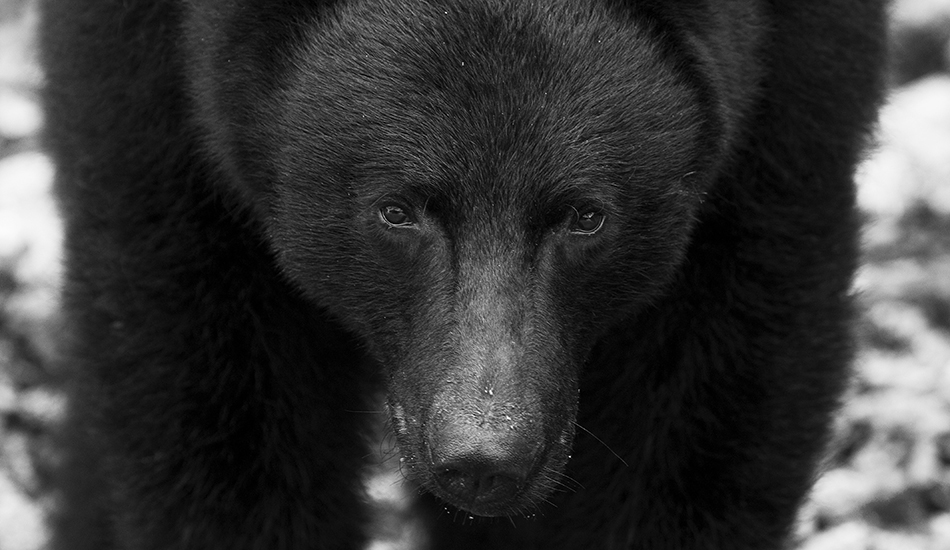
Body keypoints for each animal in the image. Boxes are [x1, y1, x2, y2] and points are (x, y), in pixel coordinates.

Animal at [39, 0, 887, 548]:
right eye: (396, 210)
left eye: (586, 215)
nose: (484, 458)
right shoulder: (152, 102)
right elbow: (209, 391)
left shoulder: (787, 106)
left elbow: (709, 397)